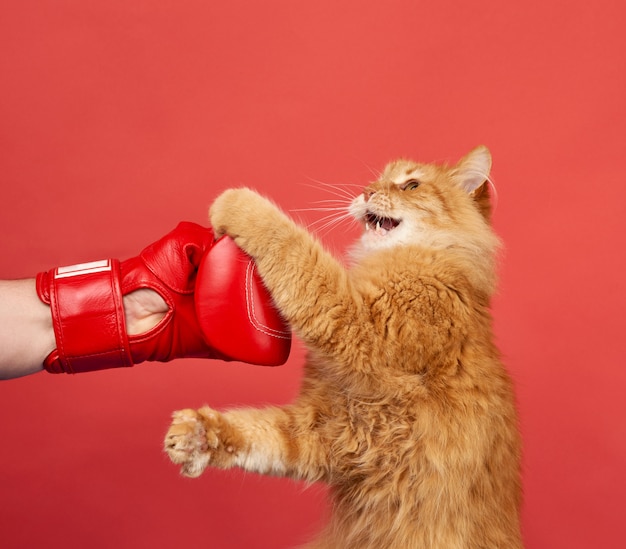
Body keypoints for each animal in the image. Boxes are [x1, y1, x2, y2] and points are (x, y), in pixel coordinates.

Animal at [163, 147, 520, 548]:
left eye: (411, 185)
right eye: (377, 180)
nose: (367, 191)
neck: (439, 259)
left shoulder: (358, 324)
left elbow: (293, 247)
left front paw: (238, 201)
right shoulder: (326, 429)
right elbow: (258, 433)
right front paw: (198, 436)